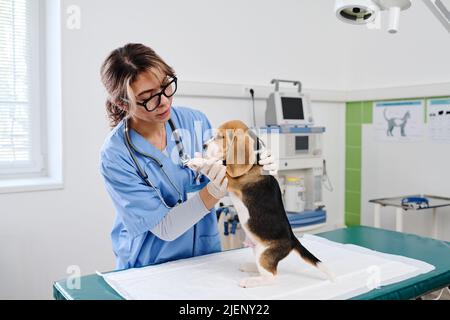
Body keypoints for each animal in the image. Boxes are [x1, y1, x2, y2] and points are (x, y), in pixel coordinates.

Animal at [193, 119, 334, 288]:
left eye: (221, 137)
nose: (203, 146)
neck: (255, 161)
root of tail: (292, 240)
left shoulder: (231, 179)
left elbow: (217, 166)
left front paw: (198, 161)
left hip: (264, 252)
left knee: (271, 276)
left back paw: (250, 281)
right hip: (258, 249)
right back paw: (250, 267)